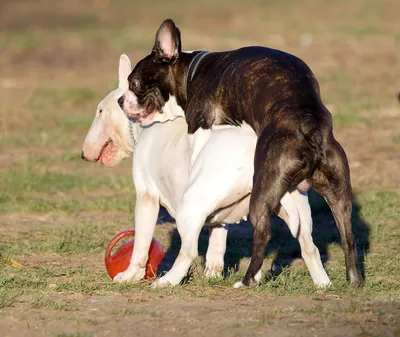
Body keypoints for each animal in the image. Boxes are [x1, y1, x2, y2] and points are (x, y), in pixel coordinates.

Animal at [117, 19, 364, 286]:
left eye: (134, 83)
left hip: (263, 190)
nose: (121, 100)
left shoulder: (198, 124)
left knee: (263, 233)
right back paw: (354, 280)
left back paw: (246, 281)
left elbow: (194, 153)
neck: (190, 72)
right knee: (348, 236)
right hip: (338, 192)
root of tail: (310, 123)